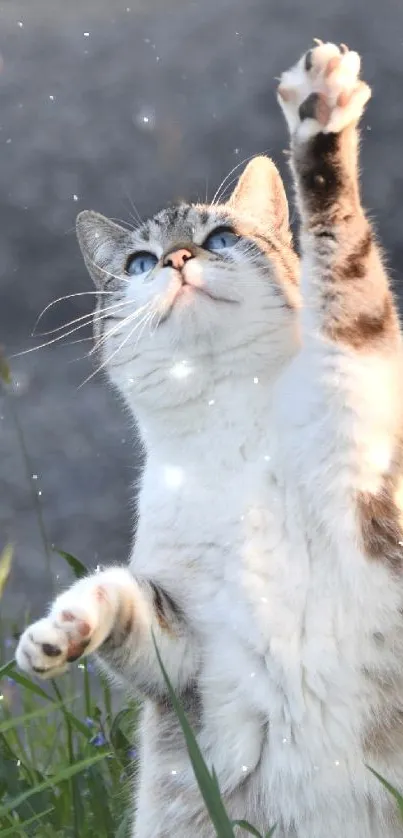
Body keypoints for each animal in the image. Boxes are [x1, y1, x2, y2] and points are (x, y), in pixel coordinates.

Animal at [16, 41, 403, 838]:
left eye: (220, 238)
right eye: (137, 263)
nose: (176, 260)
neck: (230, 431)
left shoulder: (361, 392)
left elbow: (342, 252)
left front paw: (319, 117)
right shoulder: (189, 650)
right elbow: (125, 597)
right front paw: (59, 631)